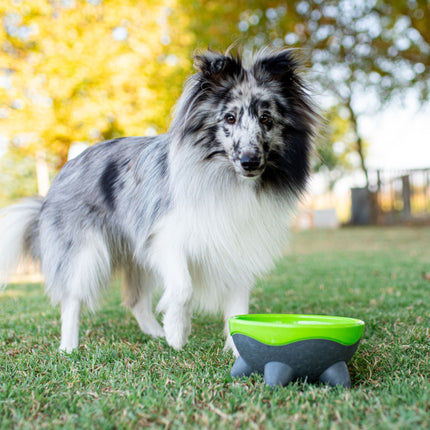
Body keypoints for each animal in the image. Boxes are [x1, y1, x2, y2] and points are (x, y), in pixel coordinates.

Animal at [0, 48, 316, 354]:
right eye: (229, 118)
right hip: (84, 253)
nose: (250, 161)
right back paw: (69, 347)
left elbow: (238, 309)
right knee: (72, 299)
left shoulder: (238, 247)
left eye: (266, 119)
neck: (228, 179)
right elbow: (182, 288)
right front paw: (177, 330)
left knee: (136, 300)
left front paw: (237, 351)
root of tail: (62, 174)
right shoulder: (165, 238)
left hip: (135, 259)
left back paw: (154, 333)